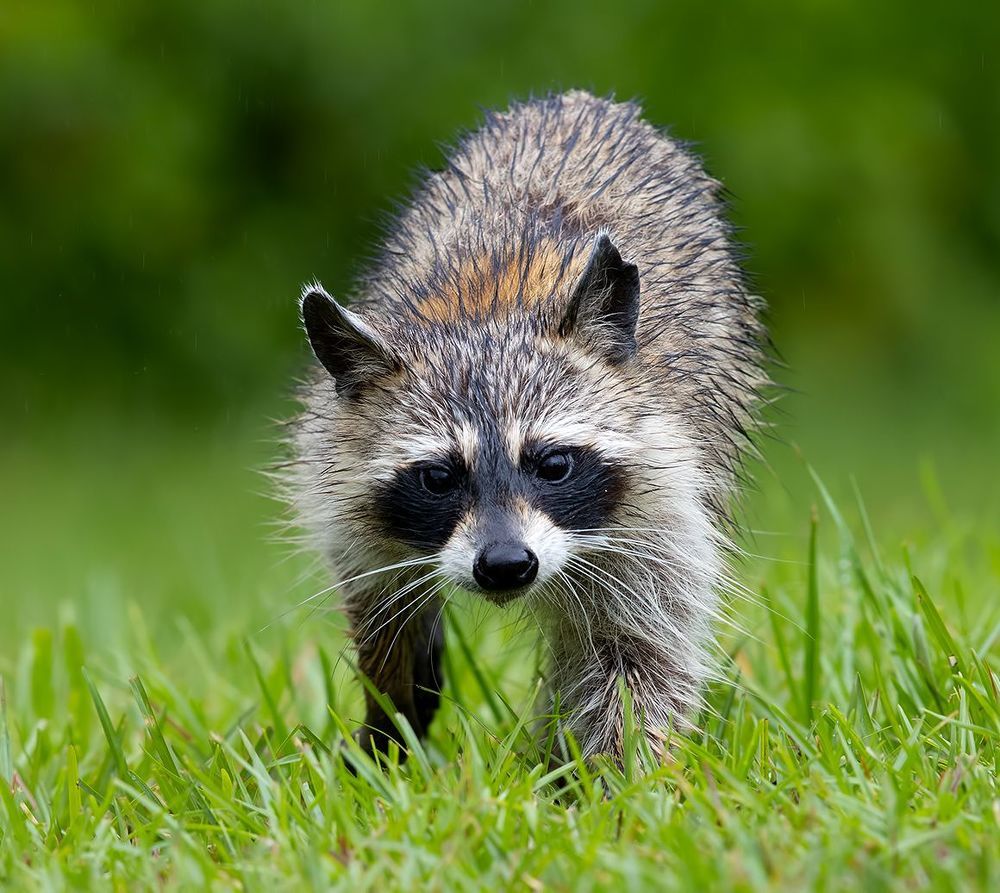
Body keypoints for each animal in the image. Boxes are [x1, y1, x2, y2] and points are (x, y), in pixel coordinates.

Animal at [290, 91, 767, 763]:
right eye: (438, 477)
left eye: (553, 464)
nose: (506, 564)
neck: (485, 315)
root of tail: (576, 99)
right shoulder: (346, 494)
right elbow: (385, 620)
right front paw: (390, 728)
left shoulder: (659, 504)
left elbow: (637, 655)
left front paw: (618, 773)